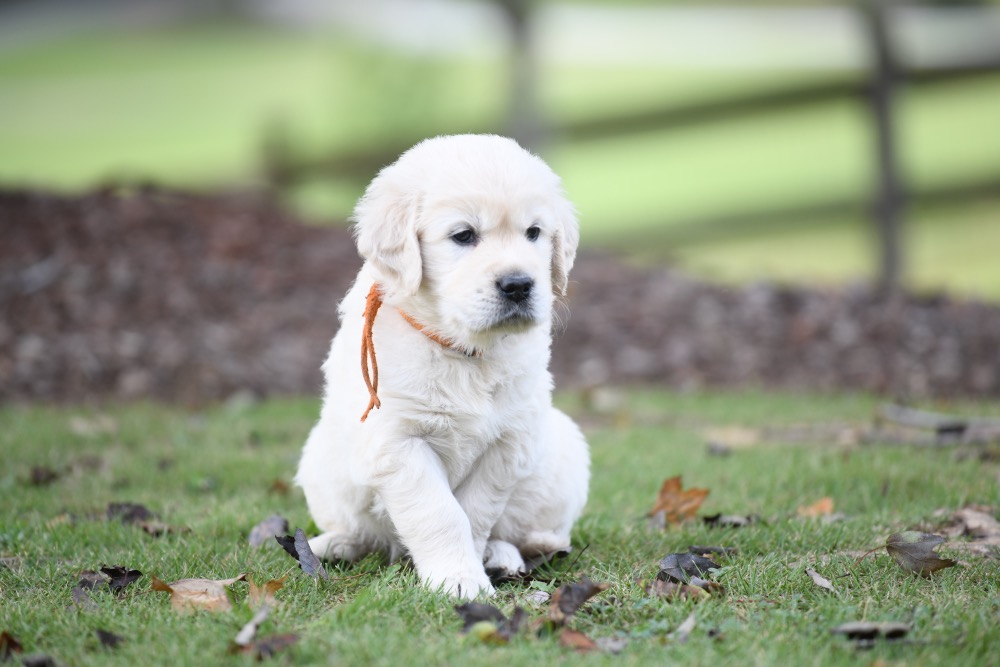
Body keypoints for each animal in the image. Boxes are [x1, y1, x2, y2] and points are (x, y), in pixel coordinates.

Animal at [296, 133, 592, 596]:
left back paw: (507, 555)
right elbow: (439, 512)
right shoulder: (398, 441)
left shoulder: (507, 443)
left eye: (534, 233)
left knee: (529, 536)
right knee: (364, 532)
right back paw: (334, 544)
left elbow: (473, 513)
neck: (463, 349)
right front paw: (459, 580)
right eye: (464, 235)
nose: (519, 284)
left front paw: (468, 571)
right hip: (320, 463)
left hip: (565, 453)